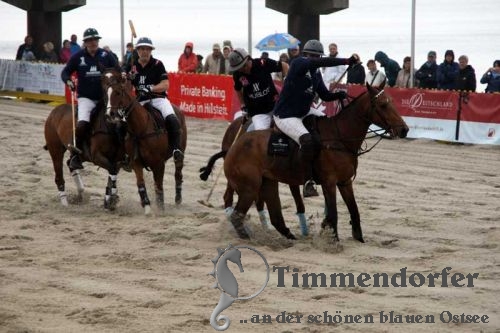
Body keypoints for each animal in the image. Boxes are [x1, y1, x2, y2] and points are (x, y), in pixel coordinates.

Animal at [43, 75, 128, 209]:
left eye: (121, 93)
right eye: (106, 94)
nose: (112, 114)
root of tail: (55, 111)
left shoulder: (117, 160)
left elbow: (112, 174)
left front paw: (109, 200)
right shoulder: (97, 157)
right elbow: (112, 171)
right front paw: (111, 198)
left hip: (80, 154)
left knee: (70, 163)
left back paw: (80, 191)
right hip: (55, 149)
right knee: (59, 176)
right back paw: (65, 203)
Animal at [101, 69, 188, 214]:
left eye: (118, 92)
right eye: (106, 94)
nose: (110, 115)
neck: (140, 129)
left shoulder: (159, 163)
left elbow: (159, 186)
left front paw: (160, 208)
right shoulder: (136, 162)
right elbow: (141, 184)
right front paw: (147, 206)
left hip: (180, 151)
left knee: (178, 173)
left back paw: (178, 199)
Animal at [225, 80, 408, 241]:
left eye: (392, 102)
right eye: (383, 105)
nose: (404, 130)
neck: (340, 138)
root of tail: (233, 147)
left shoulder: (345, 182)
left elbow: (354, 210)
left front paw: (358, 238)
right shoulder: (329, 182)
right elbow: (333, 213)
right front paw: (333, 242)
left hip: (268, 183)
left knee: (275, 217)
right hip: (249, 187)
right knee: (237, 215)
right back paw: (248, 238)